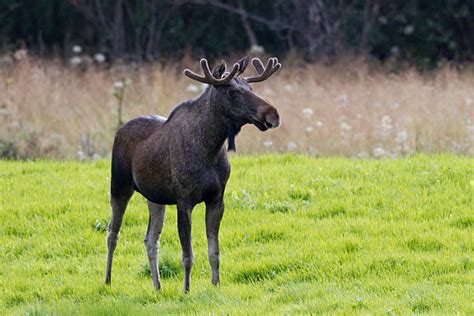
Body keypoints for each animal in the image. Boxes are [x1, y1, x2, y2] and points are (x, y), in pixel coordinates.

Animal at [104, 55, 282, 292]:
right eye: (232, 92)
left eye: (251, 87)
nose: (273, 114)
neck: (211, 147)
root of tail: (119, 130)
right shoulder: (184, 200)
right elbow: (188, 255)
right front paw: (186, 290)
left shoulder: (217, 199)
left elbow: (214, 252)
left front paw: (216, 284)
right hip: (119, 186)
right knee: (112, 233)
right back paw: (107, 280)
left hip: (155, 198)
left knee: (151, 239)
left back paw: (157, 286)